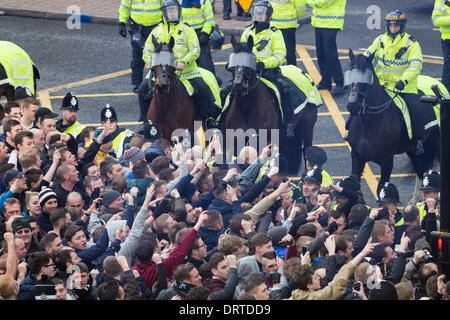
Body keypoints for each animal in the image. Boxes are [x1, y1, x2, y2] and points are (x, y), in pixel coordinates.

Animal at [223, 35, 322, 175]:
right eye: (232, 65)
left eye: (249, 64)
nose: (238, 86)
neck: (246, 109)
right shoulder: (237, 142)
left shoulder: (264, 142)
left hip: (307, 126)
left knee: (306, 150)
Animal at [344, 49, 440, 202]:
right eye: (349, 72)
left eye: (367, 76)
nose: (352, 106)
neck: (368, 126)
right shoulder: (357, 156)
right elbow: (354, 185)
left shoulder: (387, 161)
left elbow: (381, 190)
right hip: (413, 149)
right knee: (419, 169)